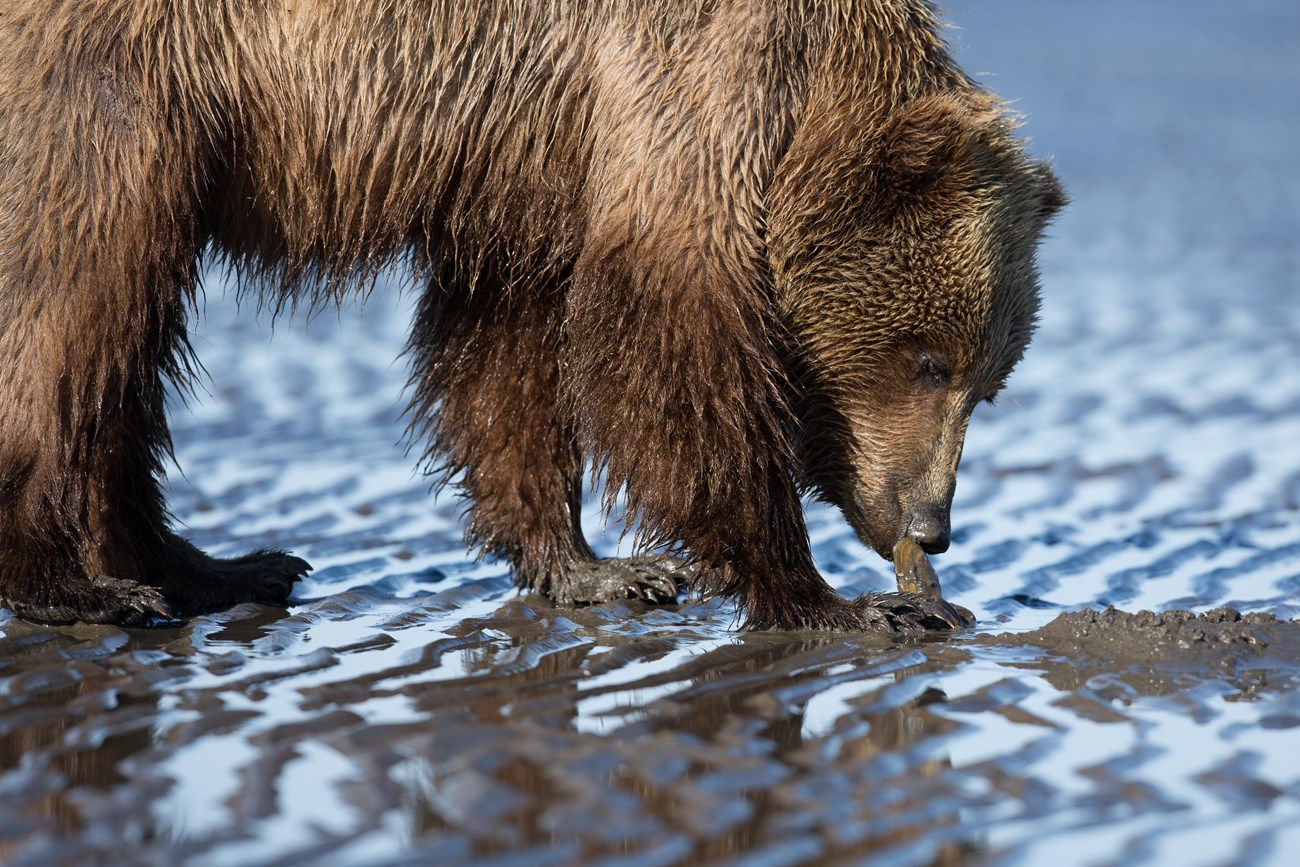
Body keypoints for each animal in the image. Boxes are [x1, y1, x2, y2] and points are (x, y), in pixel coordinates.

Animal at [0, 0, 1055, 626]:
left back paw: (217, 566)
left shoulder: (533, 155)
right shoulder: (691, 85)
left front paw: (593, 565)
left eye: (988, 384)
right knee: (75, 296)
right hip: (118, 89)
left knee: (125, 337)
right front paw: (830, 595)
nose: (931, 526)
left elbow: (507, 346)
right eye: (927, 360)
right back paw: (75, 584)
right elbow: (668, 332)